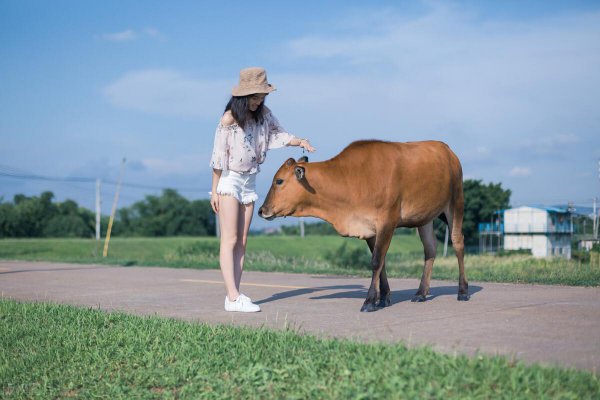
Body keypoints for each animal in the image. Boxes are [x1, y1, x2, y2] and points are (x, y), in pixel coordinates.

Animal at [258, 141, 468, 312]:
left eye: (279, 181)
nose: (261, 210)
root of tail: (447, 149)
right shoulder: (369, 229)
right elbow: (381, 262)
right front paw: (383, 298)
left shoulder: (387, 221)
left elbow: (376, 261)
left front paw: (369, 301)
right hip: (425, 218)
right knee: (430, 249)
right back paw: (421, 293)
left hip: (456, 202)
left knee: (458, 242)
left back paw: (463, 291)